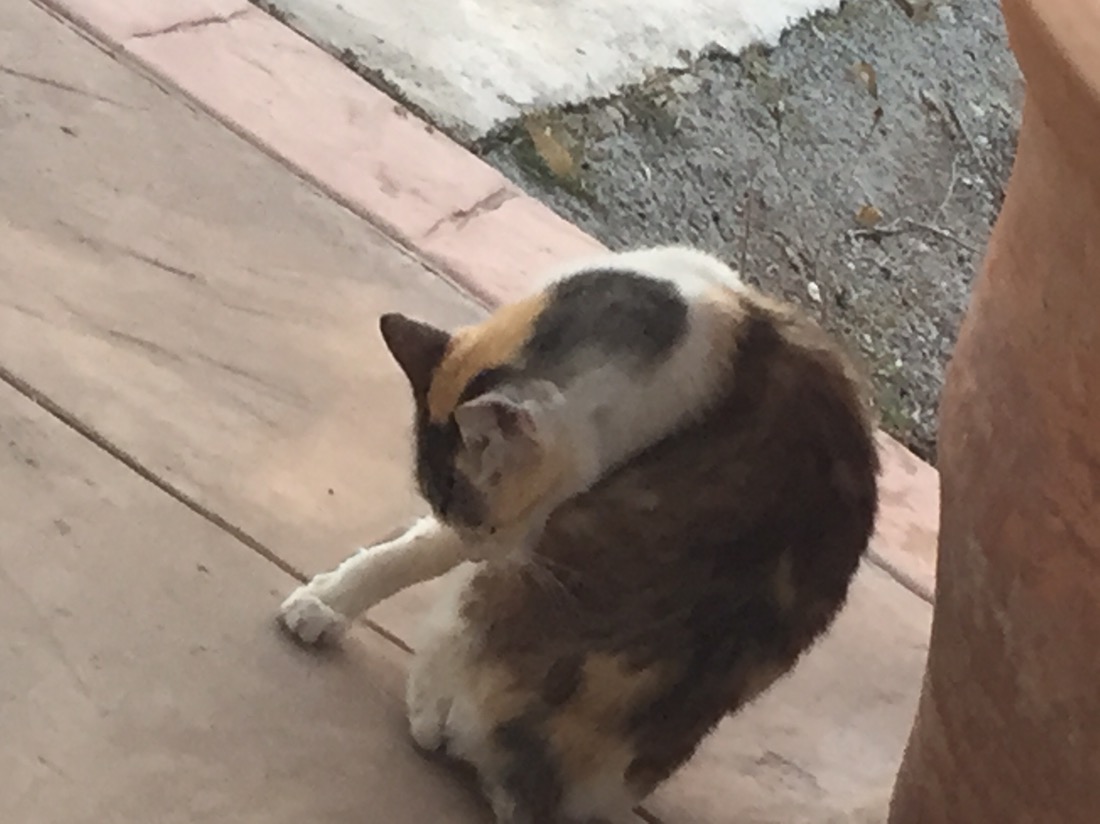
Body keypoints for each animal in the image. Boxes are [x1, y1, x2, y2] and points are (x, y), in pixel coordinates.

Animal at [278, 245, 880, 824]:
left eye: (487, 524)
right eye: (449, 507)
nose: (481, 548)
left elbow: (416, 553)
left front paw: (323, 604)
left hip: (478, 609)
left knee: (435, 721)